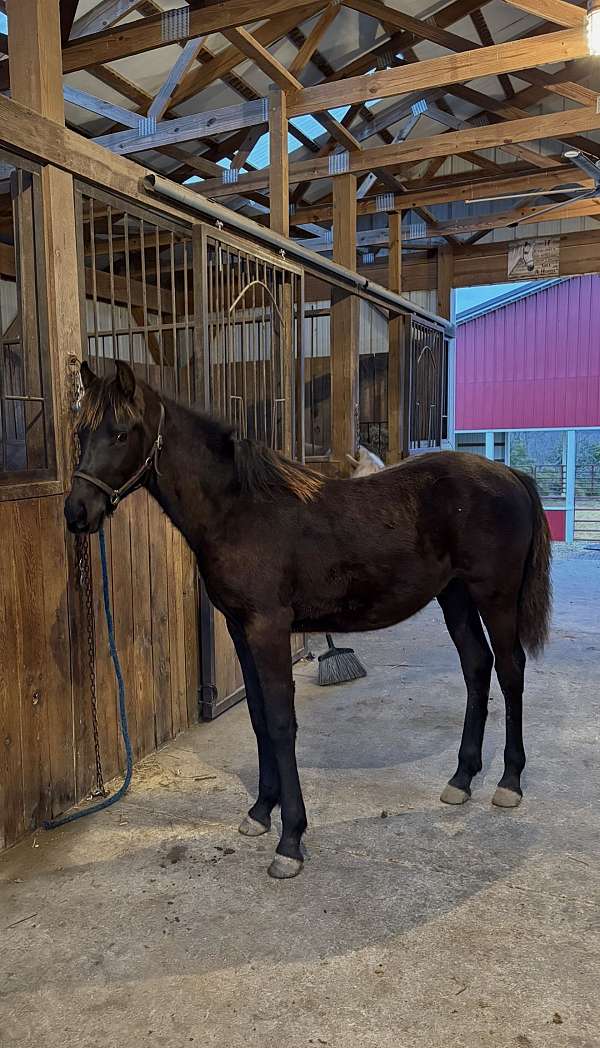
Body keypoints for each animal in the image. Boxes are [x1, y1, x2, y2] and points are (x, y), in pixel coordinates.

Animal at [65, 361, 552, 880]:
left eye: (120, 432)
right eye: (81, 432)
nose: (76, 512)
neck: (240, 510)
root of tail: (509, 474)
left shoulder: (269, 629)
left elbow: (282, 723)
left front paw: (290, 841)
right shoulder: (240, 631)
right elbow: (259, 718)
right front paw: (261, 812)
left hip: (494, 597)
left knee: (510, 670)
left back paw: (510, 781)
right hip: (455, 596)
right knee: (477, 667)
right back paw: (462, 778)